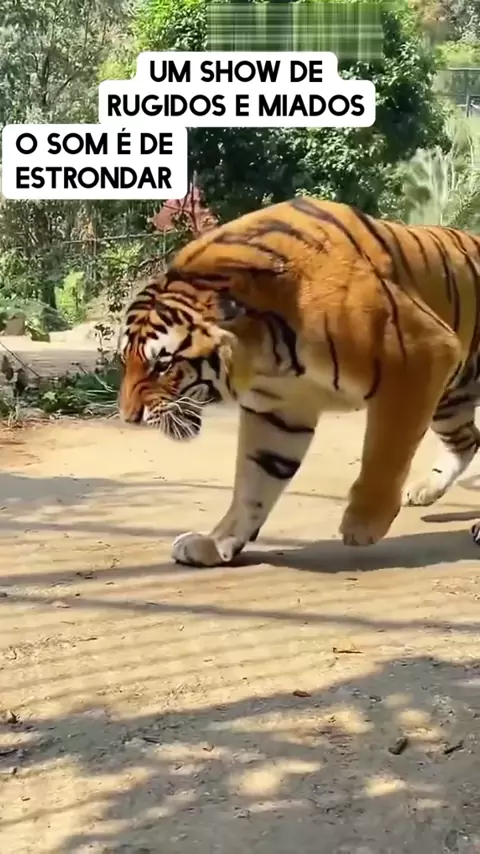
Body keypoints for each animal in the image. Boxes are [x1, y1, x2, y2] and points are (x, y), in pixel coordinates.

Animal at [118, 196, 480, 567]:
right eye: (125, 360)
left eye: (162, 364)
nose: (129, 417)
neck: (267, 352)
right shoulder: (277, 408)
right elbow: (253, 483)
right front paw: (215, 543)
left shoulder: (419, 355)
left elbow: (385, 450)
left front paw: (364, 522)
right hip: (449, 399)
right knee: (468, 440)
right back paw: (425, 491)